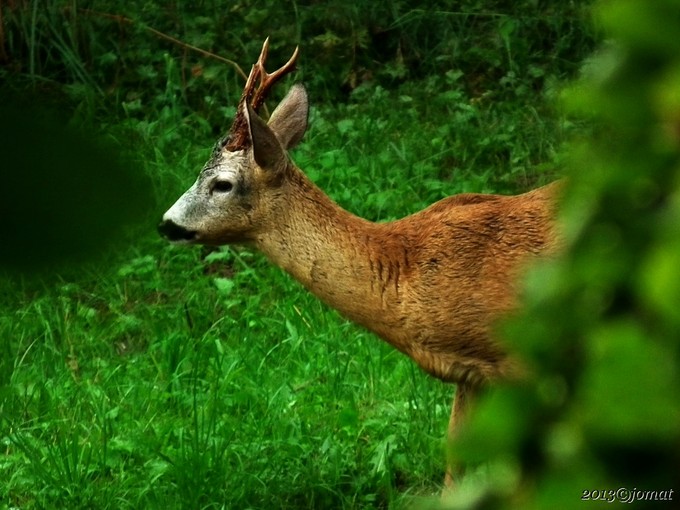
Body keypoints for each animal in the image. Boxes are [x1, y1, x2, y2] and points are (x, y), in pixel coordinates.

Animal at [159, 38, 564, 490]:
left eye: (222, 184)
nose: (166, 223)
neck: (408, 269)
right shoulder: (472, 375)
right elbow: (455, 468)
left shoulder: (528, 362)